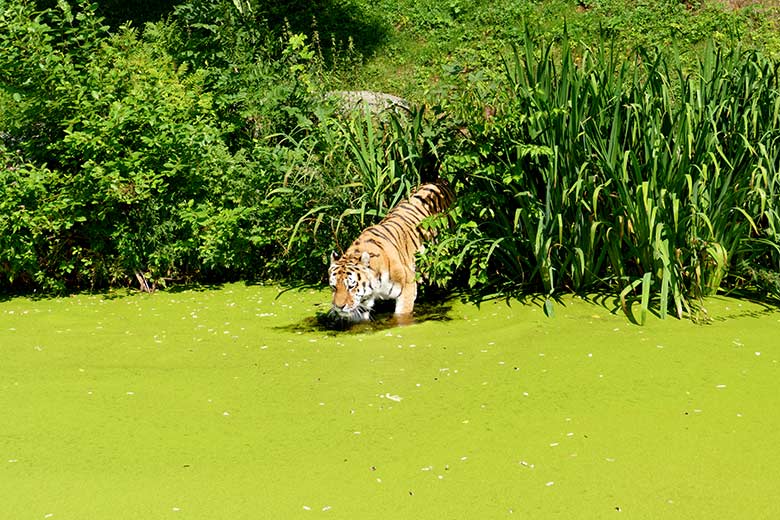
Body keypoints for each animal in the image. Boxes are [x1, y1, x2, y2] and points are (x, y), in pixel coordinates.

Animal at [326, 181, 454, 322]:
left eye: (351, 286)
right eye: (334, 287)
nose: (339, 307)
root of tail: (438, 182)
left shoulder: (408, 287)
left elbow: (402, 315)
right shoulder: (362, 303)